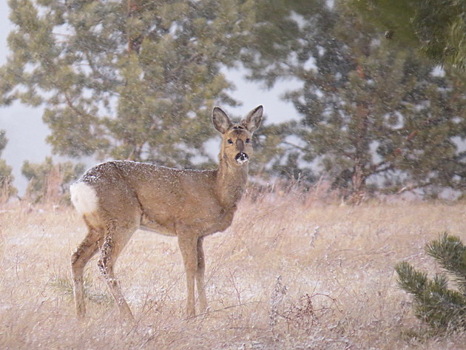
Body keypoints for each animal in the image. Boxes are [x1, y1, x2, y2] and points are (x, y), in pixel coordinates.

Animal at [68, 104, 262, 320]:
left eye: (248, 139)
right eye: (229, 140)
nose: (241, 155)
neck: (216, 191)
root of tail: (80, 186)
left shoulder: (200, 235)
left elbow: (201, 268)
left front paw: (205, 311)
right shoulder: (186, 227)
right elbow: (190, 267)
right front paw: (190, 313)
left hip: (97, 226)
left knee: (77, 258)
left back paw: (81, 316)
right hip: (123, 219)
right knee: (104, 262)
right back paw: (129, 317)